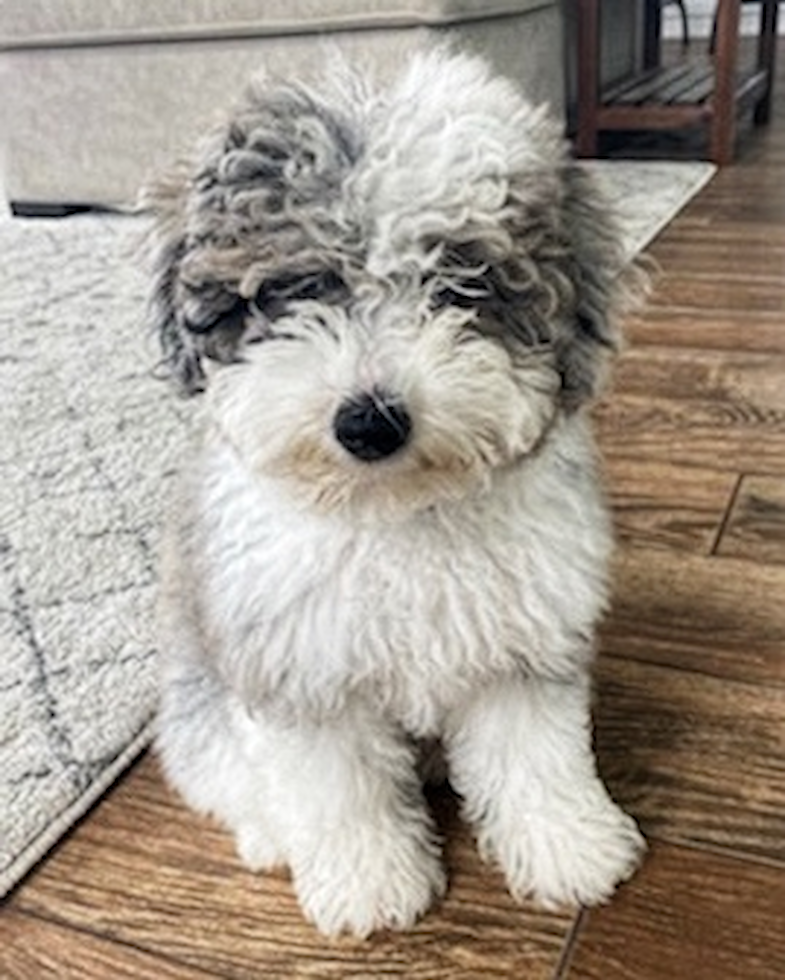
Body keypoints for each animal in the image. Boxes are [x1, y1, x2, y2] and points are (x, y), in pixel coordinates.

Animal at [145, 46, 644, 936]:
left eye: (457, 286)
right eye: (294, 289)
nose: (368, 421)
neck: (393, 514)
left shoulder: (519, 650)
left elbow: (536, 758)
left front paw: (569, 847)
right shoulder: (304, 673)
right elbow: (339, 789)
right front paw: (368, 881)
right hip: (197, 708)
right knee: (229, 777)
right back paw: (270, 835)